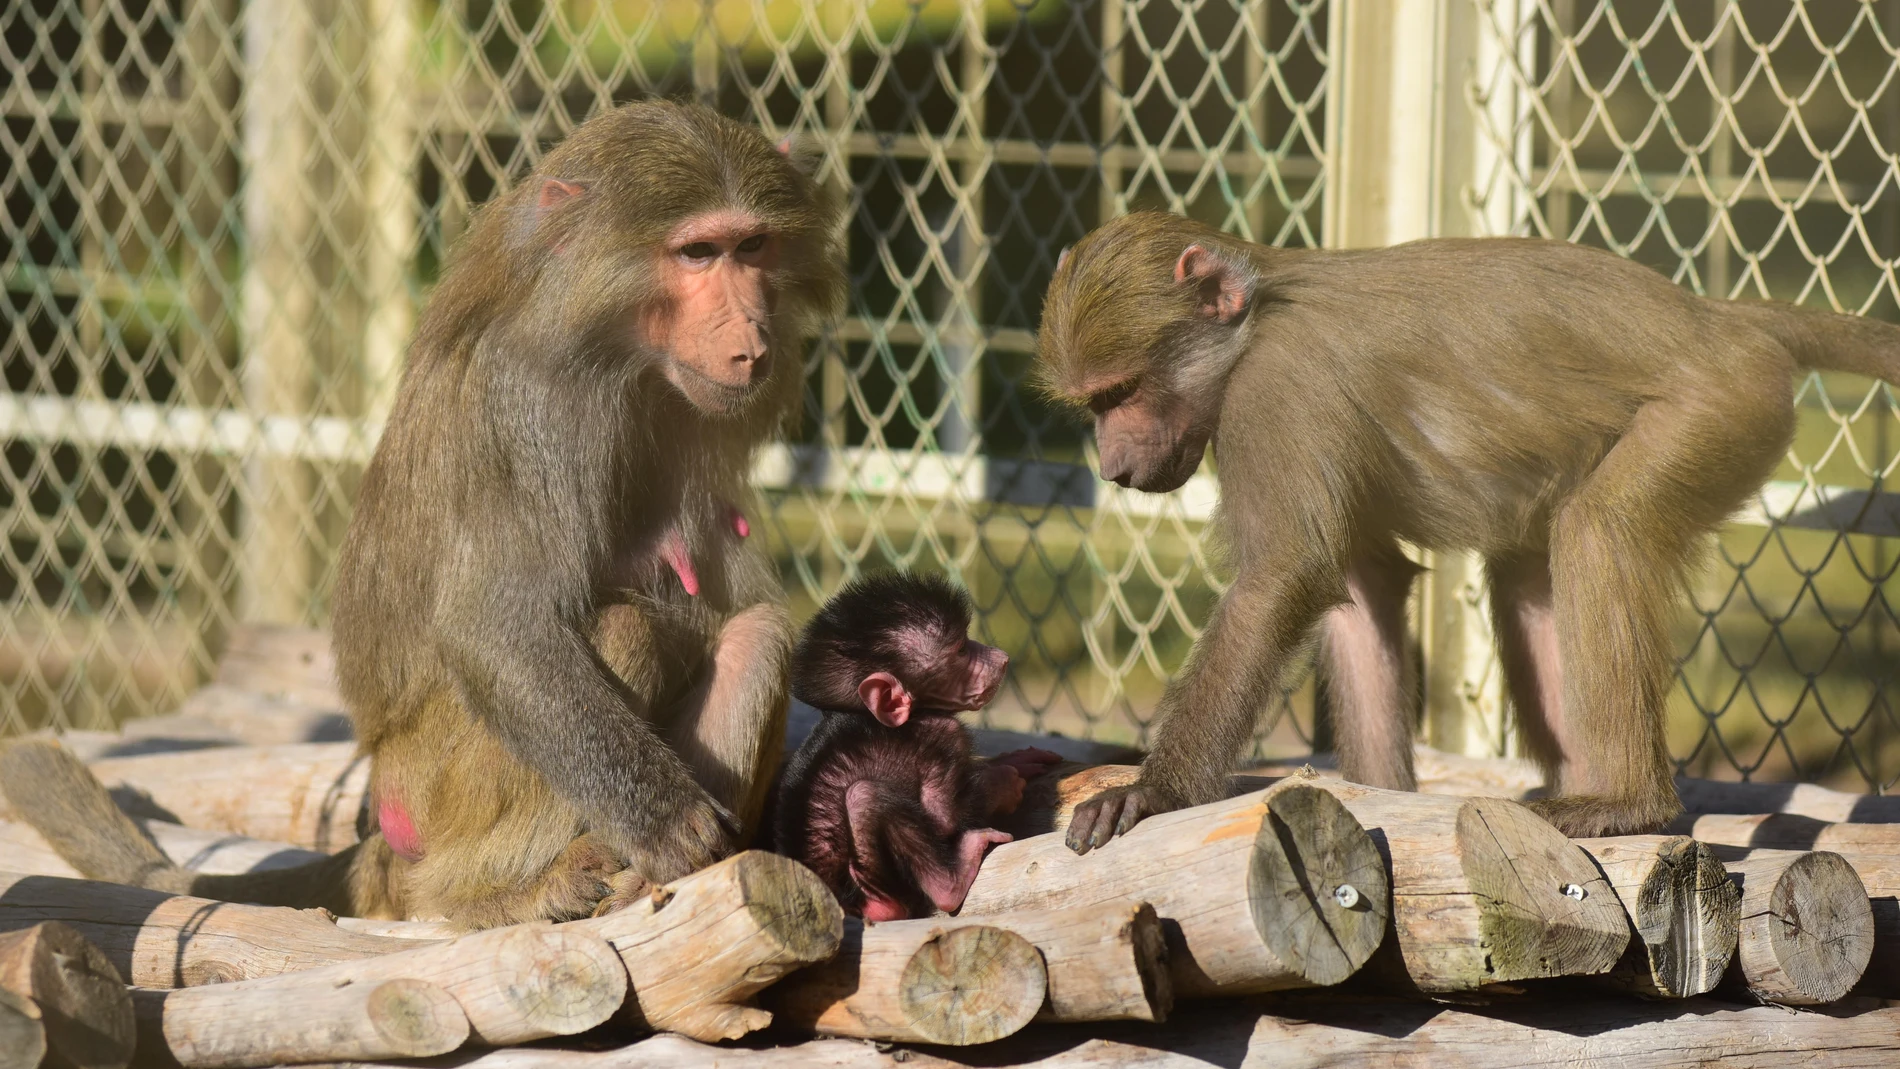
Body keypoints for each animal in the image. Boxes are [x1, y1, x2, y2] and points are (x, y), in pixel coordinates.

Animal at [0, 101, 845, 927]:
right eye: (698, 253)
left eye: (752, 247)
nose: (751, 336)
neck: (623, 355)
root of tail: (382, 804)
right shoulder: (531, 401)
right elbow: (494, 625)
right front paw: (669, 825)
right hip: (433, 788)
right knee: (622, 629)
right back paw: (486, 893)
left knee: (757, 634)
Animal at [772, 572, 1061, 920]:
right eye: (960, 650)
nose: (1001, 658)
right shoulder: (943, 733)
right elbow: (944, 817)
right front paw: (1002, 780)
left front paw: (1012, 761)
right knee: (864, 797)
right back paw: (947, 885)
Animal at [1035, 211, 1900, 846]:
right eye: (1094, 403)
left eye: (1123, 390)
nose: (1112, 466)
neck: (1259, 314)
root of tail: (1717, 320)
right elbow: (1361, 586)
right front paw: (1375, 800)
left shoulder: (1277, 390)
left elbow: (1284, 575)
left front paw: (1156, 791)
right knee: (1529, 573)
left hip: (1721, 409)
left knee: (1601, 530)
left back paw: (1628, 802)